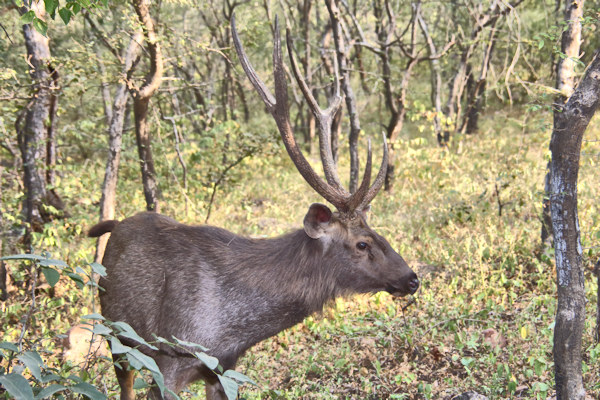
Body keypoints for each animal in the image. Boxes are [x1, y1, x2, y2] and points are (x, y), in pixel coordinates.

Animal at [89, 14, 418, 400]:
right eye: (361, 243)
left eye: (378, 233)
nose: (412, 278)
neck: (233, 327)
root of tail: (114, 225)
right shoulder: (166, 358)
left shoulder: (223, 368)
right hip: (115, 334)